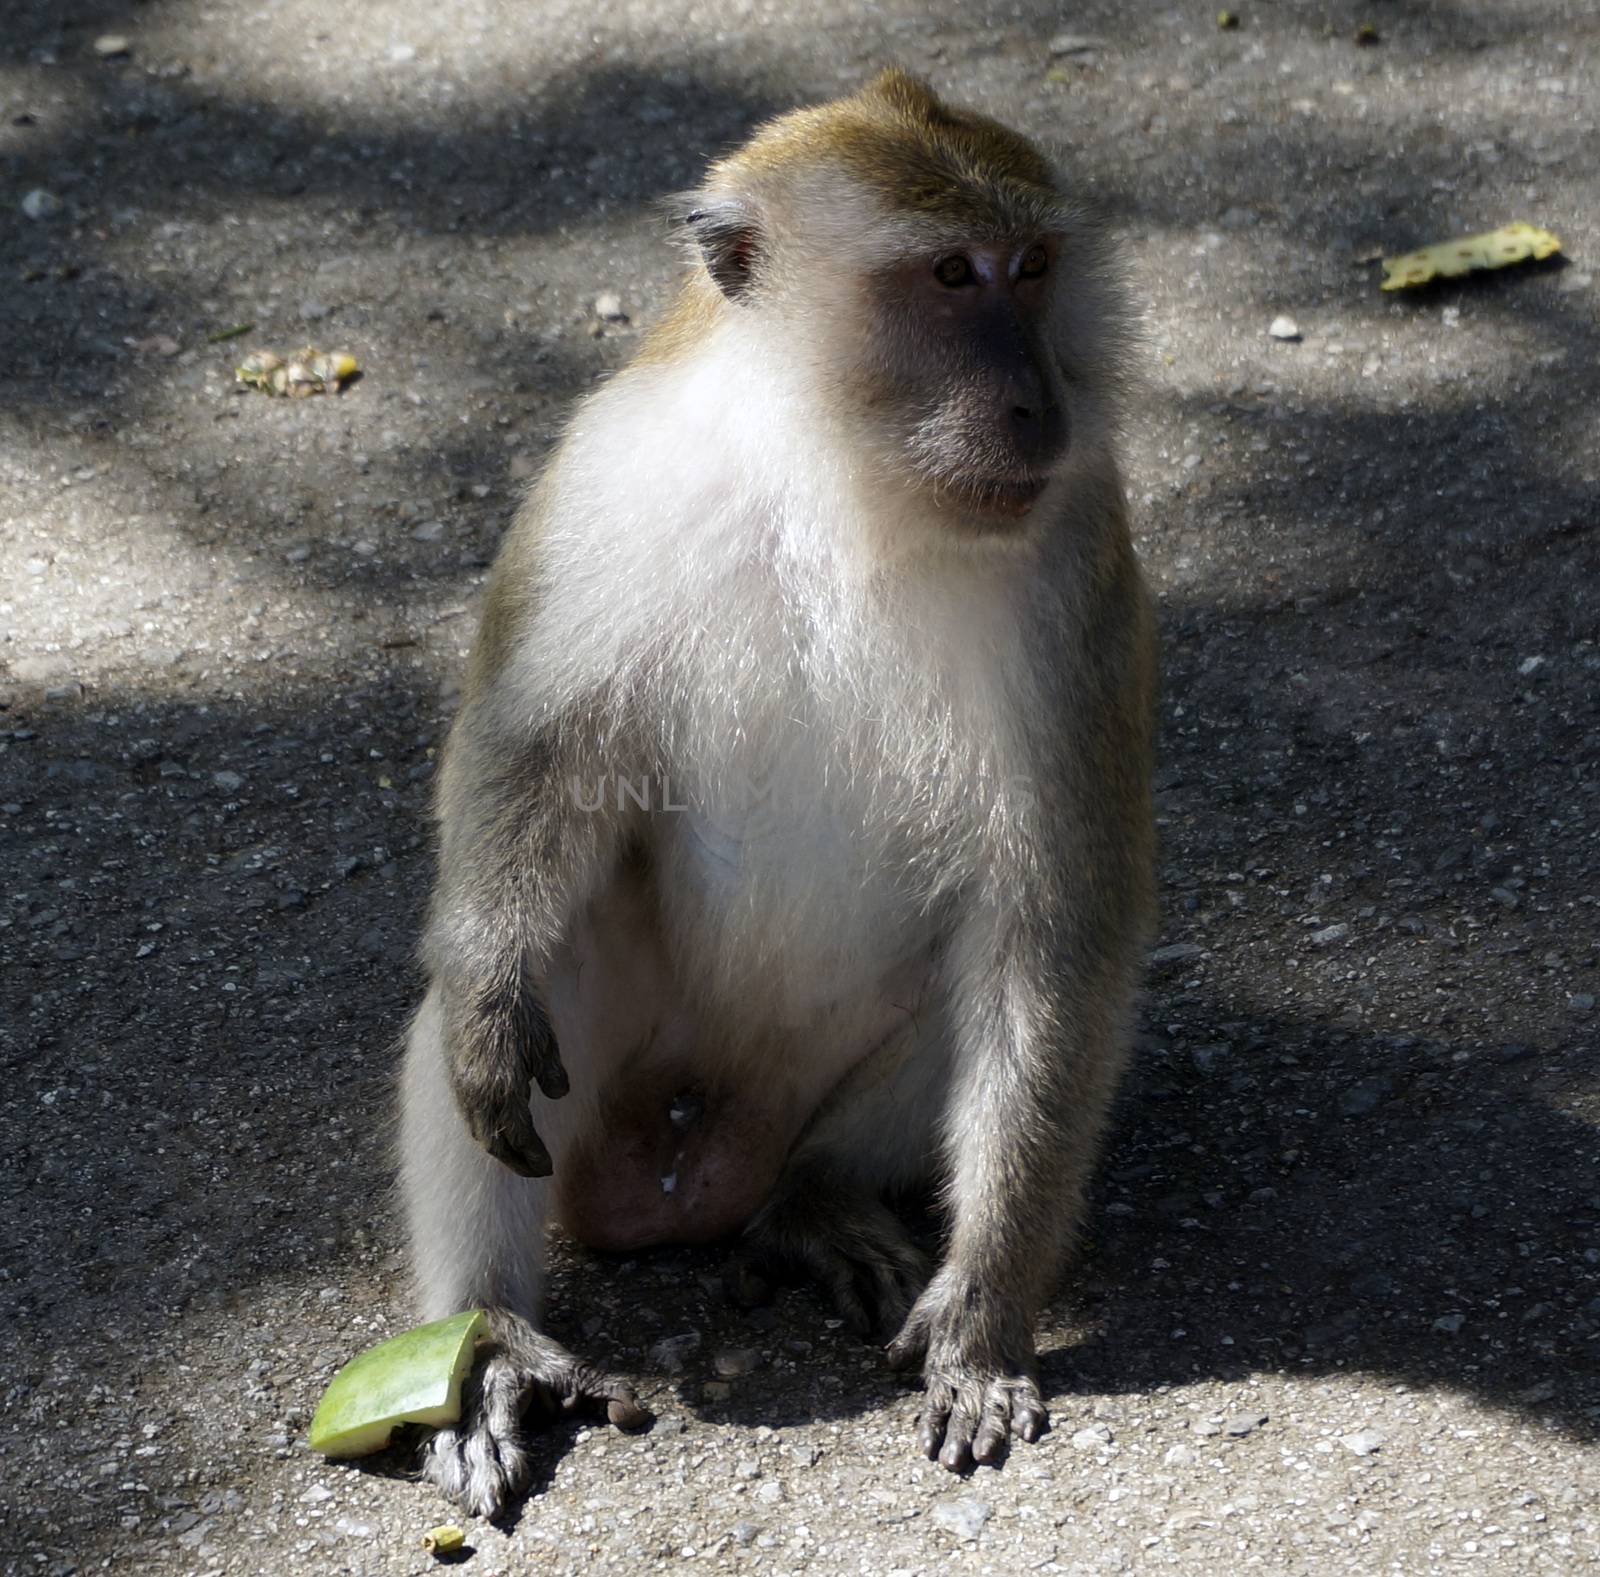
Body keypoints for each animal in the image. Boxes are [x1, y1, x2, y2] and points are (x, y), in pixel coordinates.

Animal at [398, 70, 1152, 1509]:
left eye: (1033, 267)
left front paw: (984, 1318)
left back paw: (812, 1205)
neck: (834, 465)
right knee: (540, 978)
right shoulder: (605, 469)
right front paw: (484, 994)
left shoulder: (1075, 548)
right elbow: (532, 743)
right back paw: (492, 1333)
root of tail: (699, 1158)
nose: (1039, 405)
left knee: (970, 981)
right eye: (950, 275)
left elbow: (1053, 918)